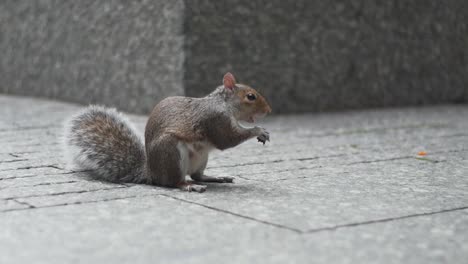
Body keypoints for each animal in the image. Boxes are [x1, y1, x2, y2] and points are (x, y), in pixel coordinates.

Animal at [64, 73, 272, 193]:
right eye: (250, 97)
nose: (268, 110)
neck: (223, 104)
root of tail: (151, 173)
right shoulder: (215, 120)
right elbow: (227, 139)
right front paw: (259, 130)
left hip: (201, 157)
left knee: (197, 175)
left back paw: (215, 178)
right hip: (171, 153)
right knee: (173, 183)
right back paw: (189, 186)